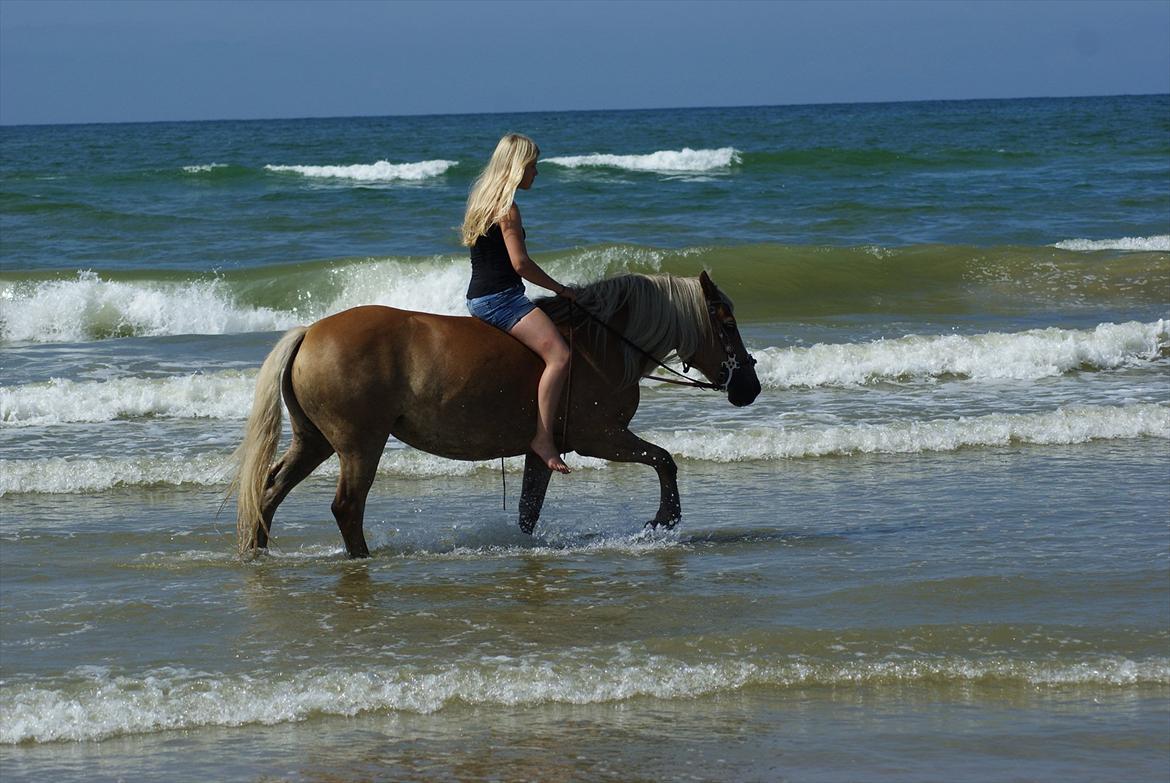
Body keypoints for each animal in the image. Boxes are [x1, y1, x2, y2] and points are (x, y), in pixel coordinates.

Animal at [232, 271, 762, 559]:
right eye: (727, 323)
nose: (750, 387)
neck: (602, 344)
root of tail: (310, 332)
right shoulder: (602, 437)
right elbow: (665, 460)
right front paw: (663, 520)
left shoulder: (543, 451)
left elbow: (529, 511)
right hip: (360, 445)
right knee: (346, 506)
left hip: (315, 441)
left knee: (270, 491)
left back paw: (257, 551)